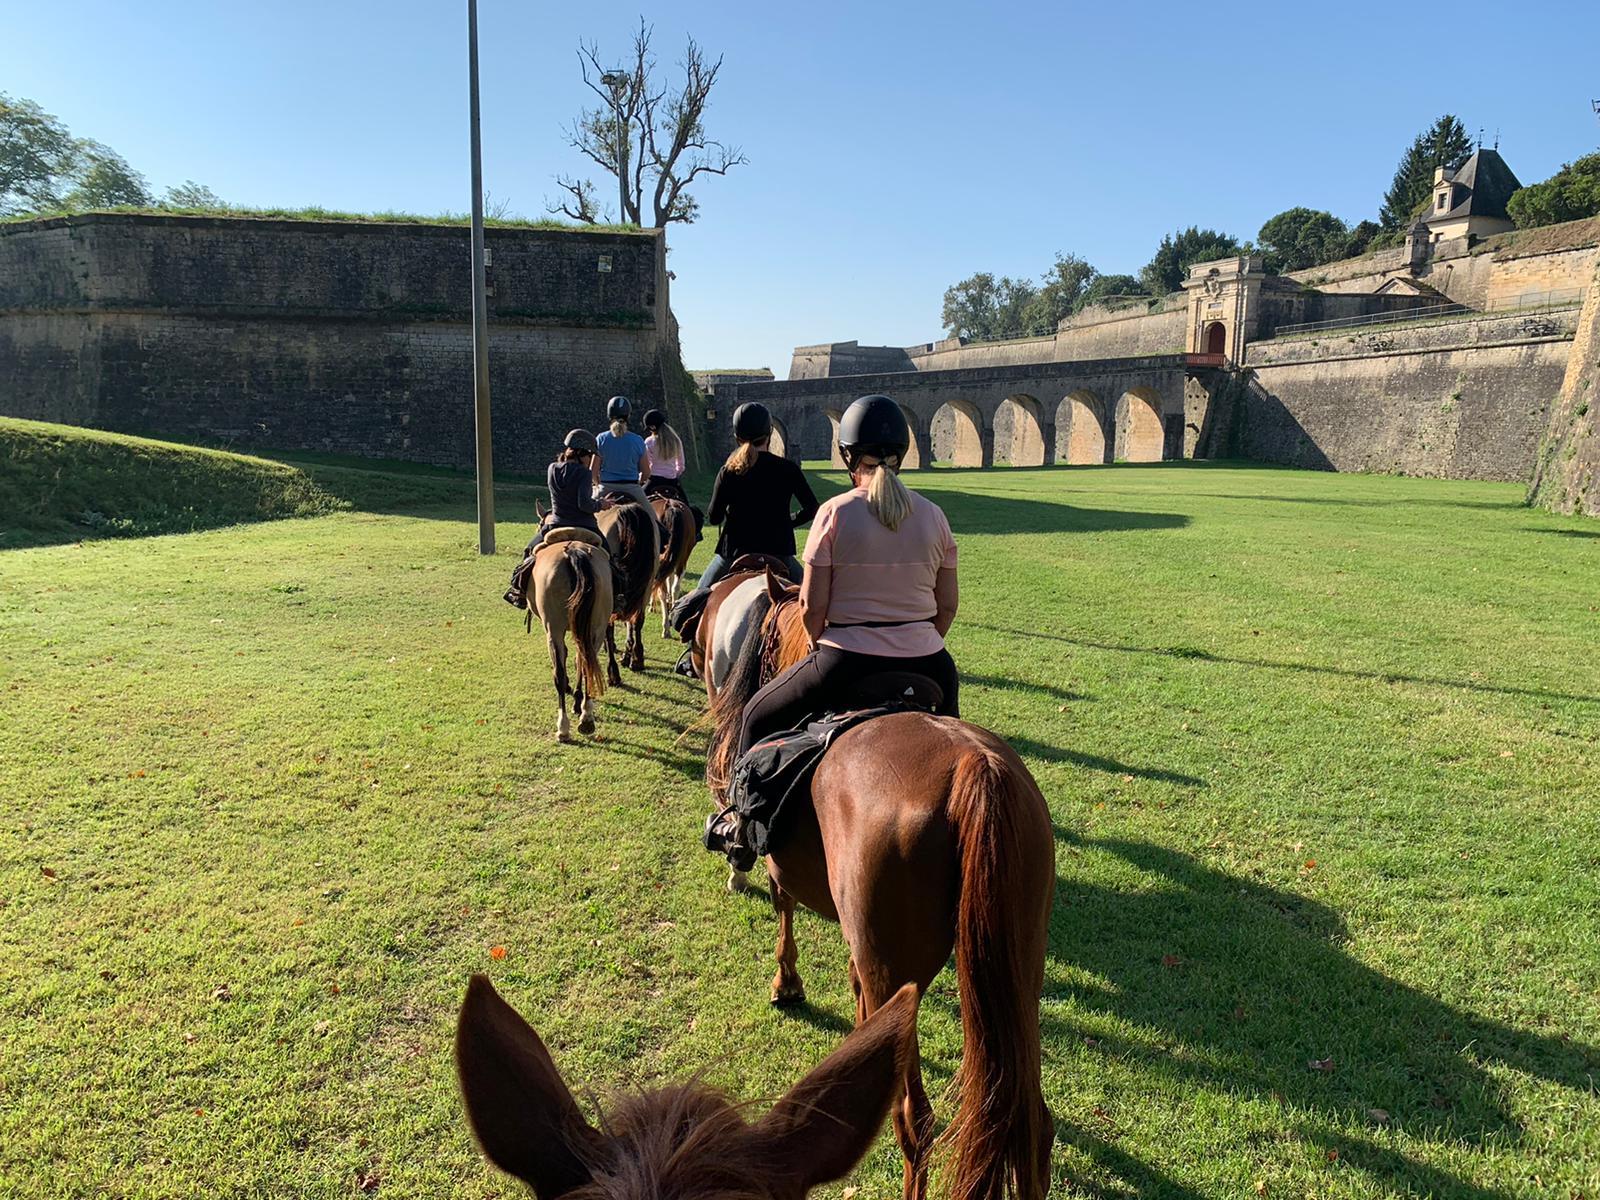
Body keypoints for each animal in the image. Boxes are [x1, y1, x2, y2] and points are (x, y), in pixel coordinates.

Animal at [525, 530, 614, 743]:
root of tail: (573, 551)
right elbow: (578, 660)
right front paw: (578, 701)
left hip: (554, 629)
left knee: (559, 673)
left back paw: (563, 727)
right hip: (596, 628)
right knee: (587, 662)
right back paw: (586, 717)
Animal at [597, 500, 660, 680]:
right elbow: (630, 623)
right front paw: (628, 654)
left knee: (610, 628)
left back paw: (613, 671)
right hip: (645, 586)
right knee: (637, 620)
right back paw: (637, 659)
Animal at [650, 497, 696, 638]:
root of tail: (670, 506)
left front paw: (651, 605)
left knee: (662, 591)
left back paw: (665, 627)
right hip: (682, 557)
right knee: (675, 587)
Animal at [704, 570, 1056, 1200]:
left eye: (761, 639)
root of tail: (972, 769)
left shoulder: (783, 870)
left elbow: (784, 908)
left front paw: (786, 983)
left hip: (903, 972)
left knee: (915, 1121)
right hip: (1020, 967)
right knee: (1034, 1126)